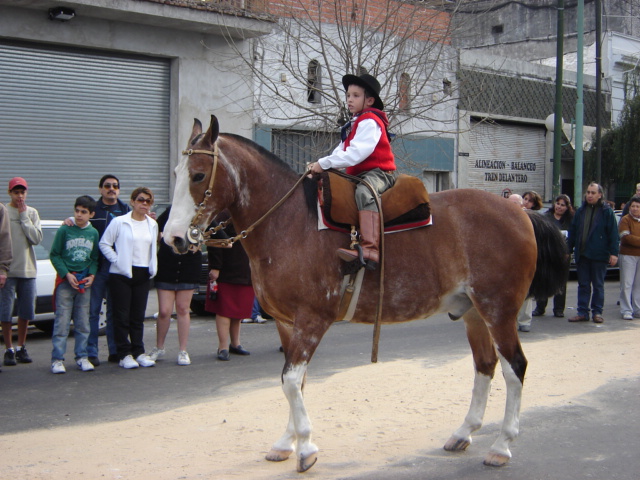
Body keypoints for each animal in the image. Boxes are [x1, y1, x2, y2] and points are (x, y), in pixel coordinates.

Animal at [164, 115, 564, 472]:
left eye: (198, 175)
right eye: (177, 173)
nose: (173, 237)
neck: (290, 222)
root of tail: (521, 212)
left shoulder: (312, 319)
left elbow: (291, 381)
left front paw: (306, 448)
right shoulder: (286, 323)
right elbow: (295, 383)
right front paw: (286, 443)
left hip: (499, 310)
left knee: (515, 367)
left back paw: (501, 446)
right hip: (473, 313)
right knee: (485, 365)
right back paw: (464, 432)